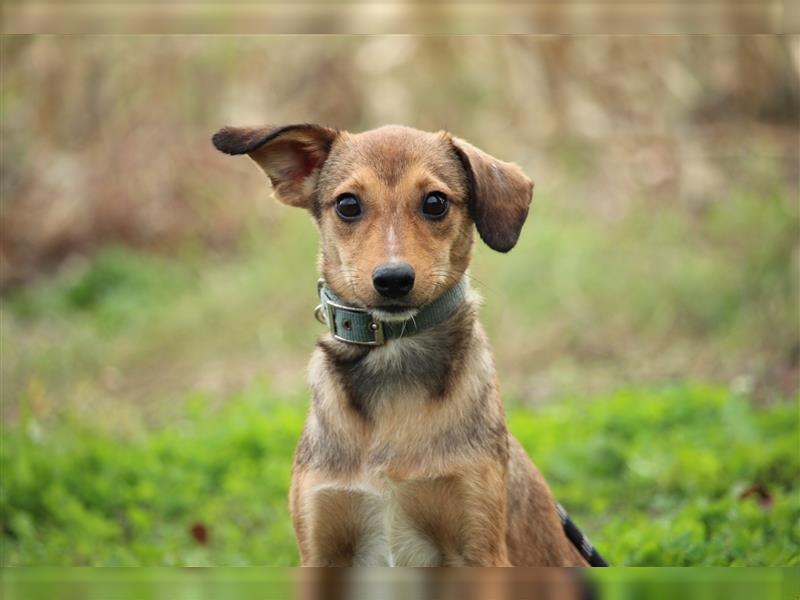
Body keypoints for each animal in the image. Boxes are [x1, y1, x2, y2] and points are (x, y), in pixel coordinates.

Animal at [212, 123, 600, 568]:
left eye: (435, 202)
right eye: (348, 204)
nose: (393, 279)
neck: (392, 364)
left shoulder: (481, 545)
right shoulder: (320, 546)